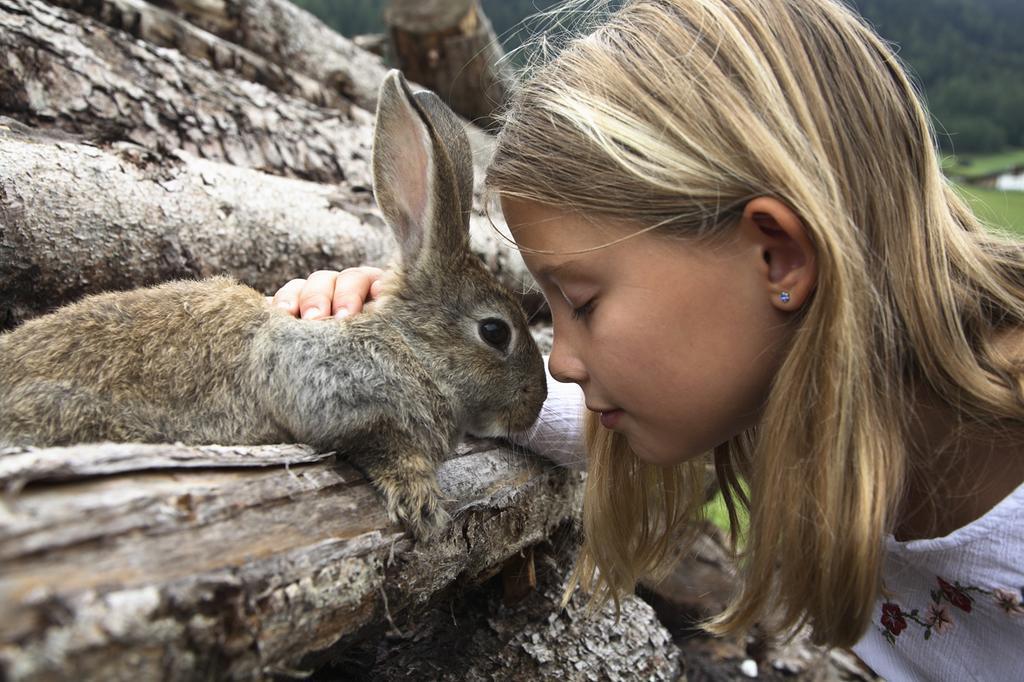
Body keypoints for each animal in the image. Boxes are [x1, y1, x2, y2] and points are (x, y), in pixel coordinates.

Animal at [0, 67, 552, 536]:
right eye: (495, 331)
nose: (533, 407)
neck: (411, 349)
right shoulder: (324, 385)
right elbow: (379, 445)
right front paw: (420, 504)